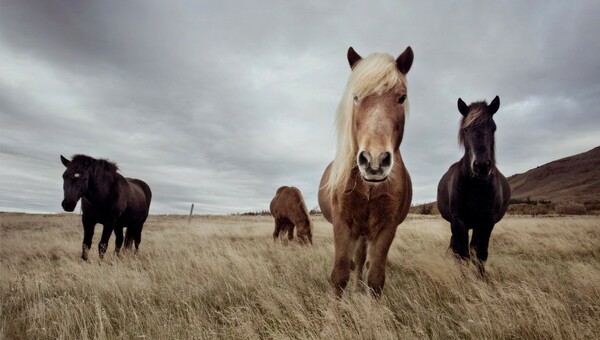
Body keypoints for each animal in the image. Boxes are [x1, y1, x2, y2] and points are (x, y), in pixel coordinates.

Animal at [318, 45, 412, 298]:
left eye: (402, 97)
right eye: (356, 97)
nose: (374, 160)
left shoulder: (386, 227)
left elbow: (376, 278)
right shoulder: (342, 222)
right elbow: (340, 274)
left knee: (361, 261)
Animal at [436, 96, 510, 276]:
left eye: (493, 128)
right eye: (466, 130)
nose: (481, 166)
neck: (476, 188)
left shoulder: (487, 222)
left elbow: (480, 254)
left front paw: (480, 279)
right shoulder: (459, 220)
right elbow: (463, 255)